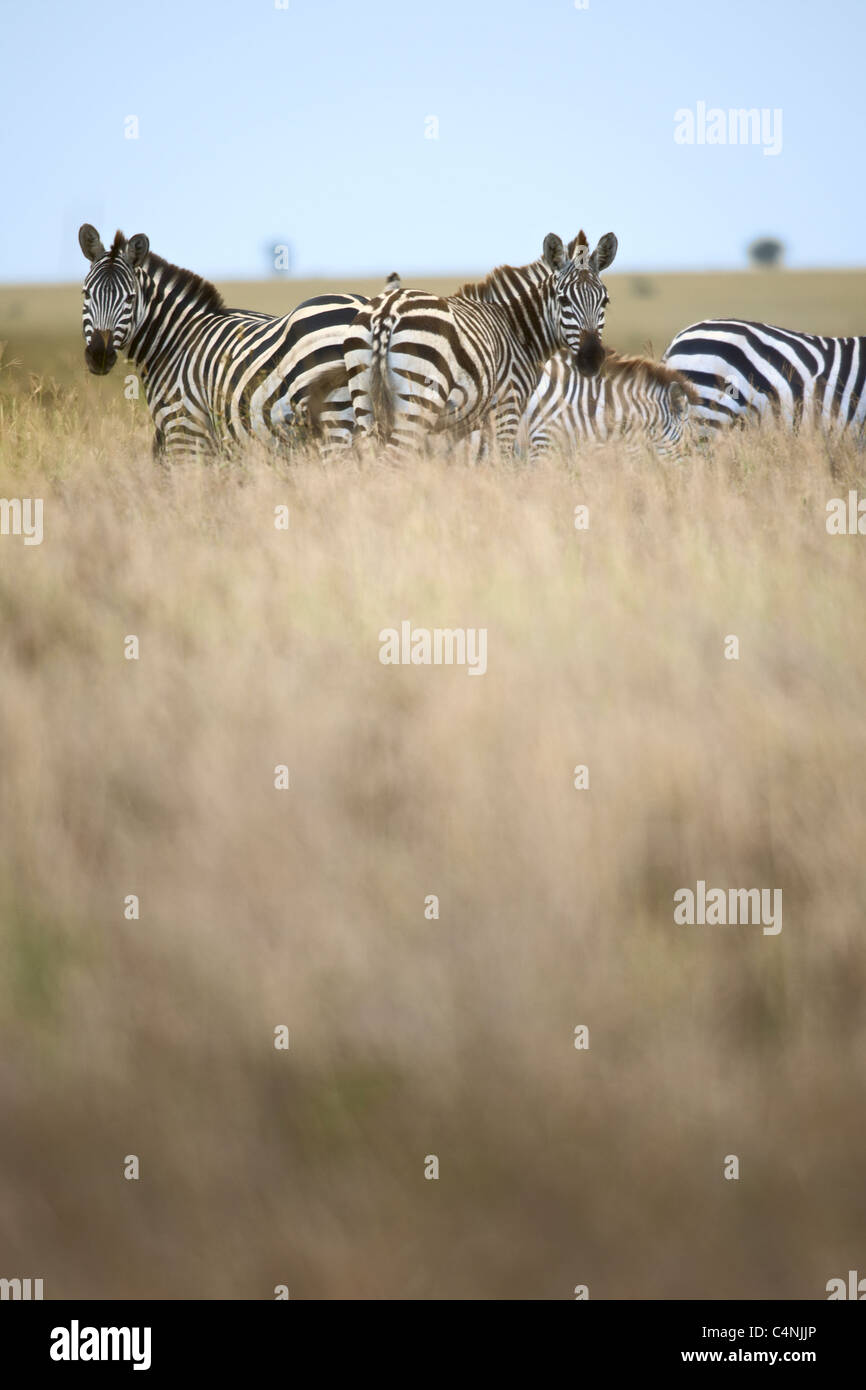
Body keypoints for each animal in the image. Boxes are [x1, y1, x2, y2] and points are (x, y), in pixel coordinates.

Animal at [82, 225, 375, 458]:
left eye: (130, 298)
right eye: (86, 294)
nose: (99, 354)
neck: (174, 342)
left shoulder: (183, 430)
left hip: (333, 419)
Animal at [339, 230, 617, 453]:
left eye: (605, 301)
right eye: (563, 300)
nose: (591, 359)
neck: (516, 328)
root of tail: (387, 310)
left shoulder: (465, 424)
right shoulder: (507, 407)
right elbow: (500, 463)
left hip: (365, 402)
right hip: (417, 403)